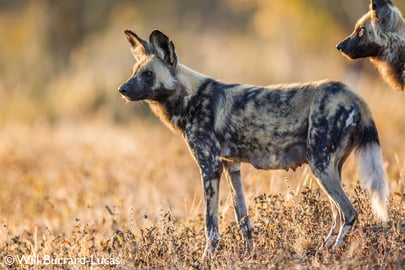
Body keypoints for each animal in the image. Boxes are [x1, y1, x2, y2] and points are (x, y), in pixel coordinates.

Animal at [117, 29, 388, 255]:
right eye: (134, 73)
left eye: (148, 74)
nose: (122, 90)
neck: (189, 98)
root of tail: (353, 95)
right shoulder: (230, 165)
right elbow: (243, 219)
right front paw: (249, 255)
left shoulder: (209, 167)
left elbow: (210, 226)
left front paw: (207, 258)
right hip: (330, 167)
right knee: (337, 214)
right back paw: (322, 249)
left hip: (319, 165)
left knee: (349, 212)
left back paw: (333, 253)